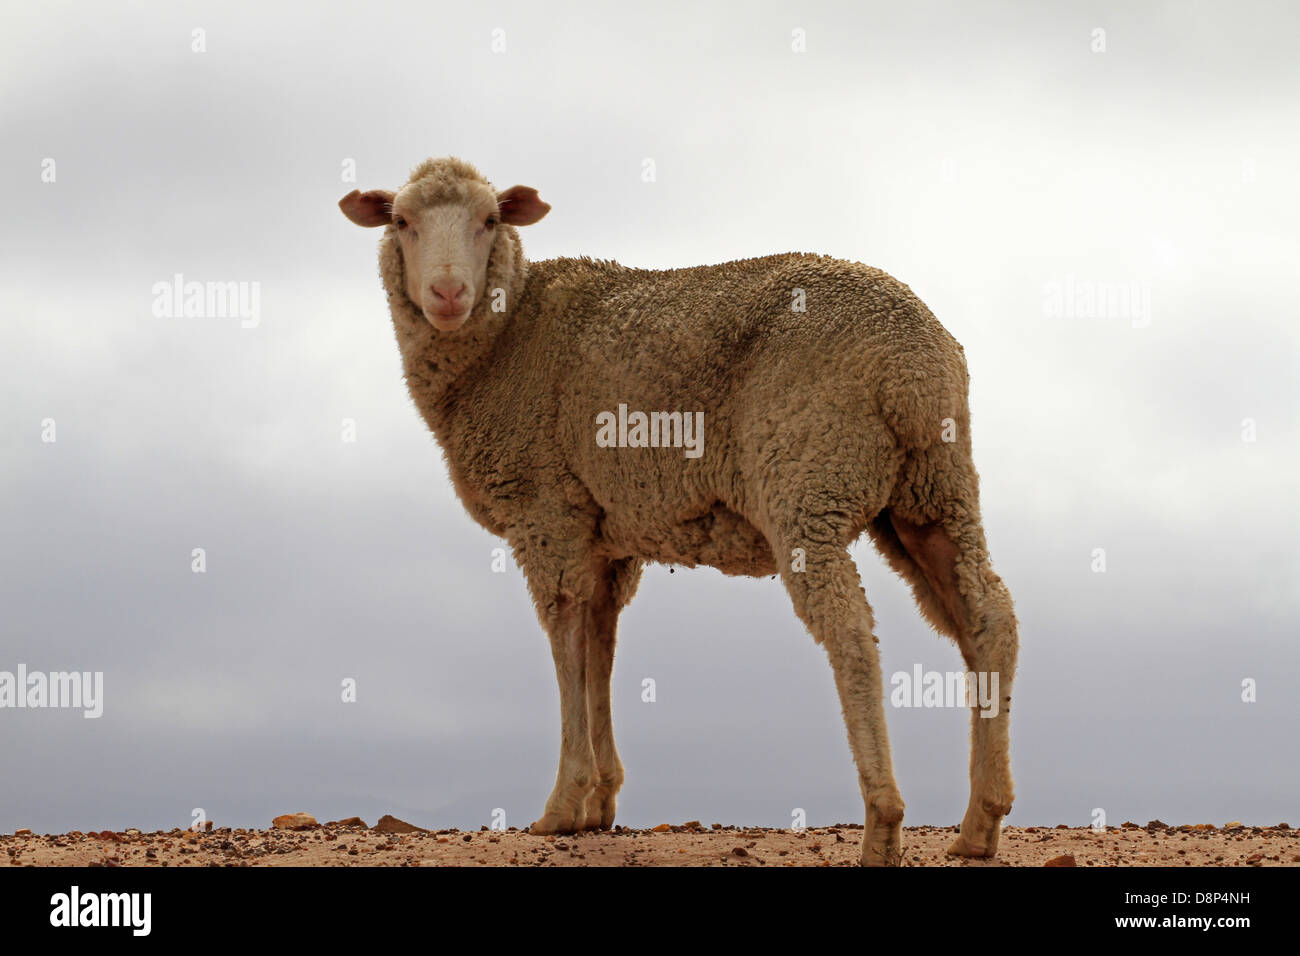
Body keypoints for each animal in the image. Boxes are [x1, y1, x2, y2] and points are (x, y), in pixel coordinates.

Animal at [340, 158, 1019, 868]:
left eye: (489, 220)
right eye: (402, 221)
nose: (447, 293)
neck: (502, 339)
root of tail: (913, 365)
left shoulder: (547, 512)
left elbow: (564, 638)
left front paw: (562, 803)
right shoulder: (608, 534)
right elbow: (600, 645)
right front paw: (601, 800)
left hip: (809, 481)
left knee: (854, 632)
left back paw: (883, 825)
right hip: (932, 489)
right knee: (987, 616)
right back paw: (981, 821)